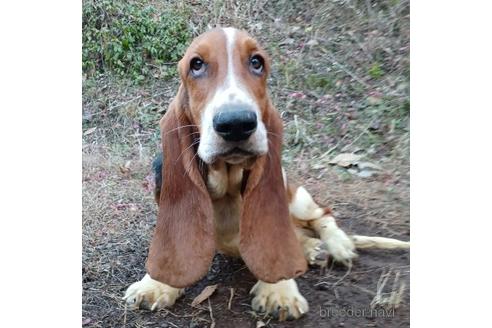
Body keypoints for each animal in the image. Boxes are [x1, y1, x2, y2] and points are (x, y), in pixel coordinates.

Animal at [124, 26, 412, 322]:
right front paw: (157, 283)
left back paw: (337, 244)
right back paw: (313, 249)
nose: (236, 123)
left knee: (322, 215)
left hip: (297, 196)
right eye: (196, 64)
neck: (227, 184)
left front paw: (280, 290)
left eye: (256, 62)